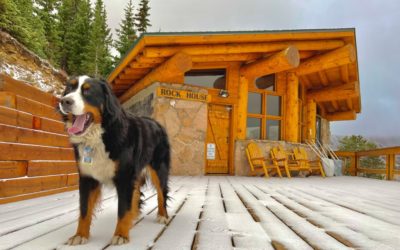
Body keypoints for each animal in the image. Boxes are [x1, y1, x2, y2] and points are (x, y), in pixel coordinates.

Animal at [57, 75, 170, 245]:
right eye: (69, 89)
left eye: (87, 91)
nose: (64, 101)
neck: (99, 136)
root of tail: (157, 123)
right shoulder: (87, 178)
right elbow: (84, 210)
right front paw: (80, 235)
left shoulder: (124, 177)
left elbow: (122, 210)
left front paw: (121, 235)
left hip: (159, 168)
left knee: (161, 192)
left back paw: (163, 216)